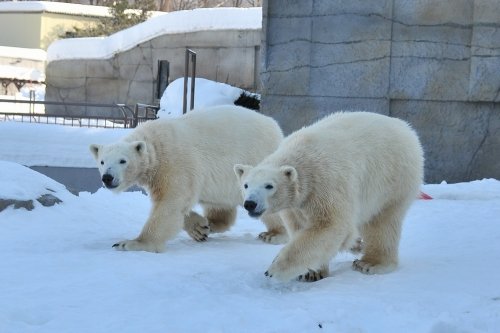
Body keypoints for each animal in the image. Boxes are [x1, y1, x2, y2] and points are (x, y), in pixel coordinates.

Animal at [89, 105, 286, 253]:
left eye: (123, 160)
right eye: (102, 161)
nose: (107, 177)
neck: (155, 145)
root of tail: (277, 129)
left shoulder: (174, 164)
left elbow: (171, 201)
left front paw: (131, 243)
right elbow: (177, 204)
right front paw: (198, 227)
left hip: (260, 159)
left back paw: (275, 234)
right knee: (219, 203)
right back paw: (211, 223)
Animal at [234, 111, 422, 280]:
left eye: (269, 186)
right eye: (246, 185)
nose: (250, 203)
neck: (301, 159)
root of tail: (405, 128)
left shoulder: (326, 183)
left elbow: (330, 225)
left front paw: (275, 269)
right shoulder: (296, 205)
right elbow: (301, 227)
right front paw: (312, 272)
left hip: (393, 180)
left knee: (382, 222)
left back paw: (370, 264)